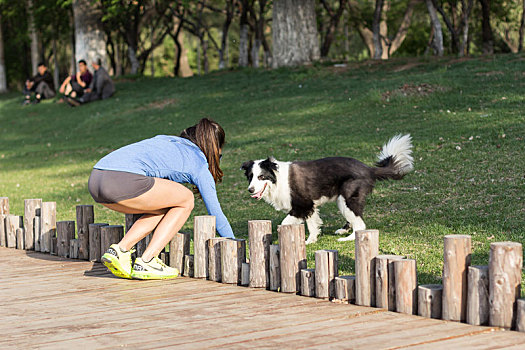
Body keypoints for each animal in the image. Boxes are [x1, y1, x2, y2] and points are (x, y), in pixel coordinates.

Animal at [242, 135, 414, 245]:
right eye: (250, 177)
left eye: (261, 177)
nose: (250, 190)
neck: (277, 179)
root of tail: (368, 169)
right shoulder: (309, 206)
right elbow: (312, 224)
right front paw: (311, 241)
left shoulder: (302, 205)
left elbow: (285, 223)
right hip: (343, 200)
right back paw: (343, 231)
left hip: (346, 199)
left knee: (360, 225)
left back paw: (347, 238)